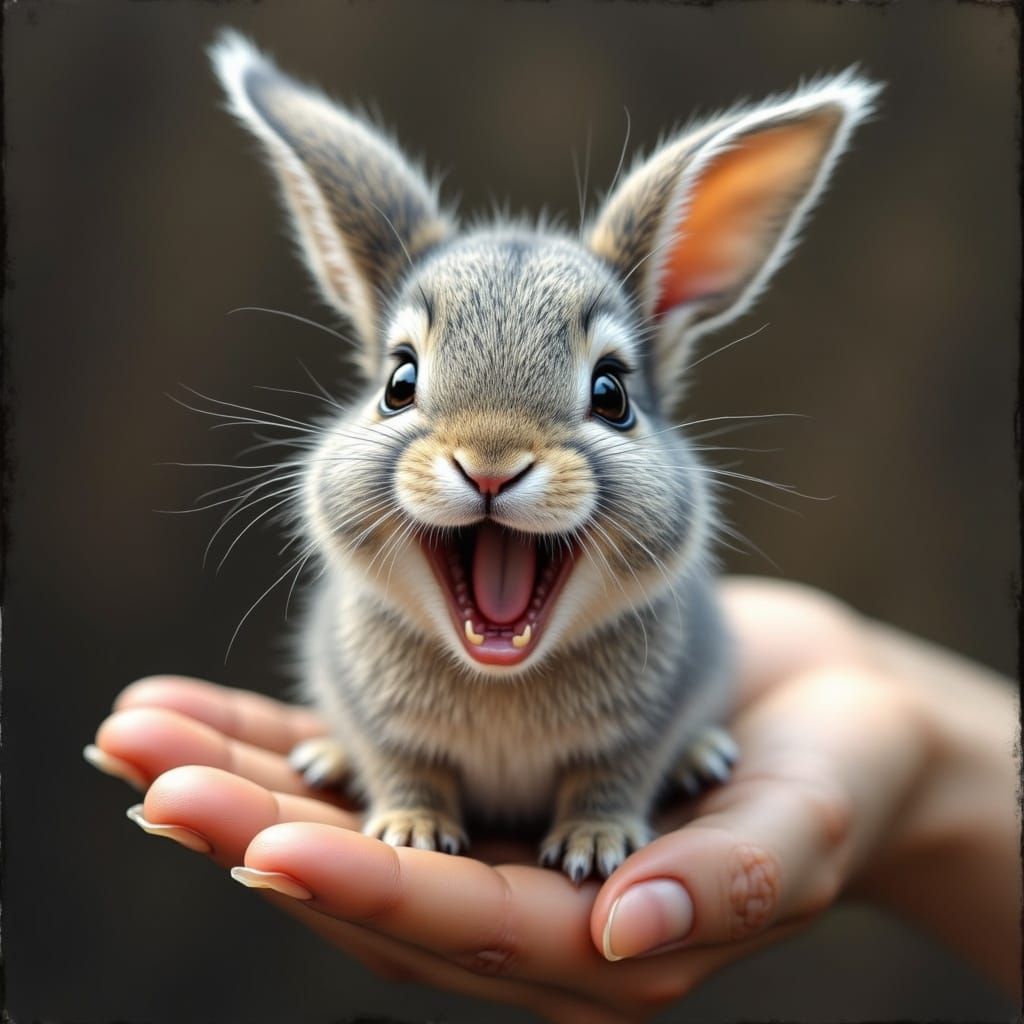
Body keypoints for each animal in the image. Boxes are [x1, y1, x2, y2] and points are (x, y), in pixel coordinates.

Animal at [210, 32, 879, 881]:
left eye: (612, 393)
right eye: (399, 382)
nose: (491, 464)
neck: (501, 673)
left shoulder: (639, 732)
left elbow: (609, 779)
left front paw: (596, 846)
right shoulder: (381, 724)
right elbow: (405, 766)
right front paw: (410, 831)